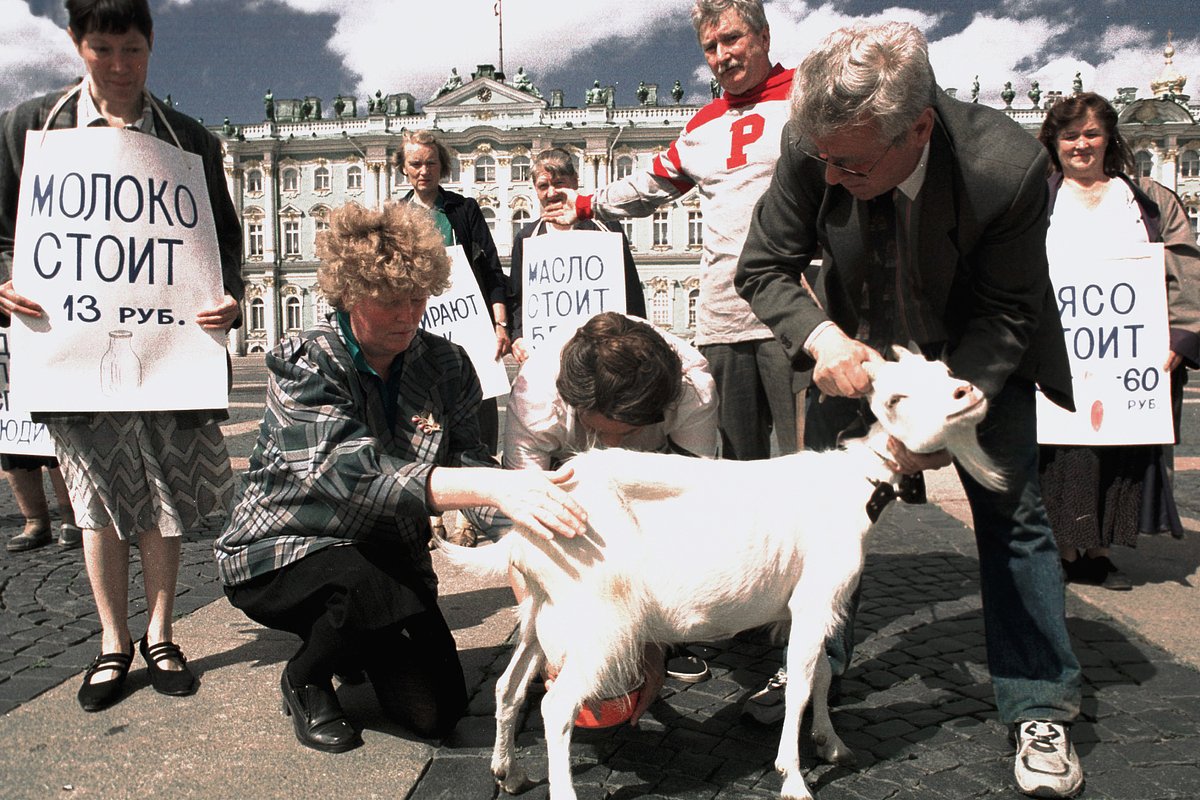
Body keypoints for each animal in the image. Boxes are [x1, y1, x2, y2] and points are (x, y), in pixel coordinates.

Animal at [441, 347, 1003, 800]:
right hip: (602, 622)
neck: (854, 484)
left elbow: (819, 674)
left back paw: (508, 773)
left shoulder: (806, 607)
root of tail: (523, 534)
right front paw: (794, 779)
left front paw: (832, 745)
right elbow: (801, 686)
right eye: (895, 398)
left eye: (945, 371)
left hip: (545, 611)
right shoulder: (816, 598)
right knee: (557, 707)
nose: (968, 392)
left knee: (509, 688)